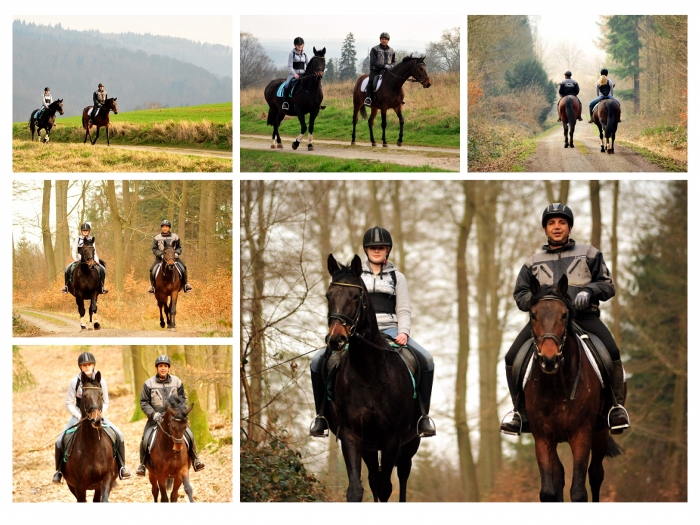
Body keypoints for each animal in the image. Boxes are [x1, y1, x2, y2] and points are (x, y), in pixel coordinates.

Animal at [524, 272, 624, 502]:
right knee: (560, 475)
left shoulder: (581, 435)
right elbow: (548, 490)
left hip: (600, 432)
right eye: (533, 315)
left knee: (595, 475)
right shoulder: (542, 438)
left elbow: (579, 491)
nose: (549, 360)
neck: (555, 387)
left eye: (563, 315)